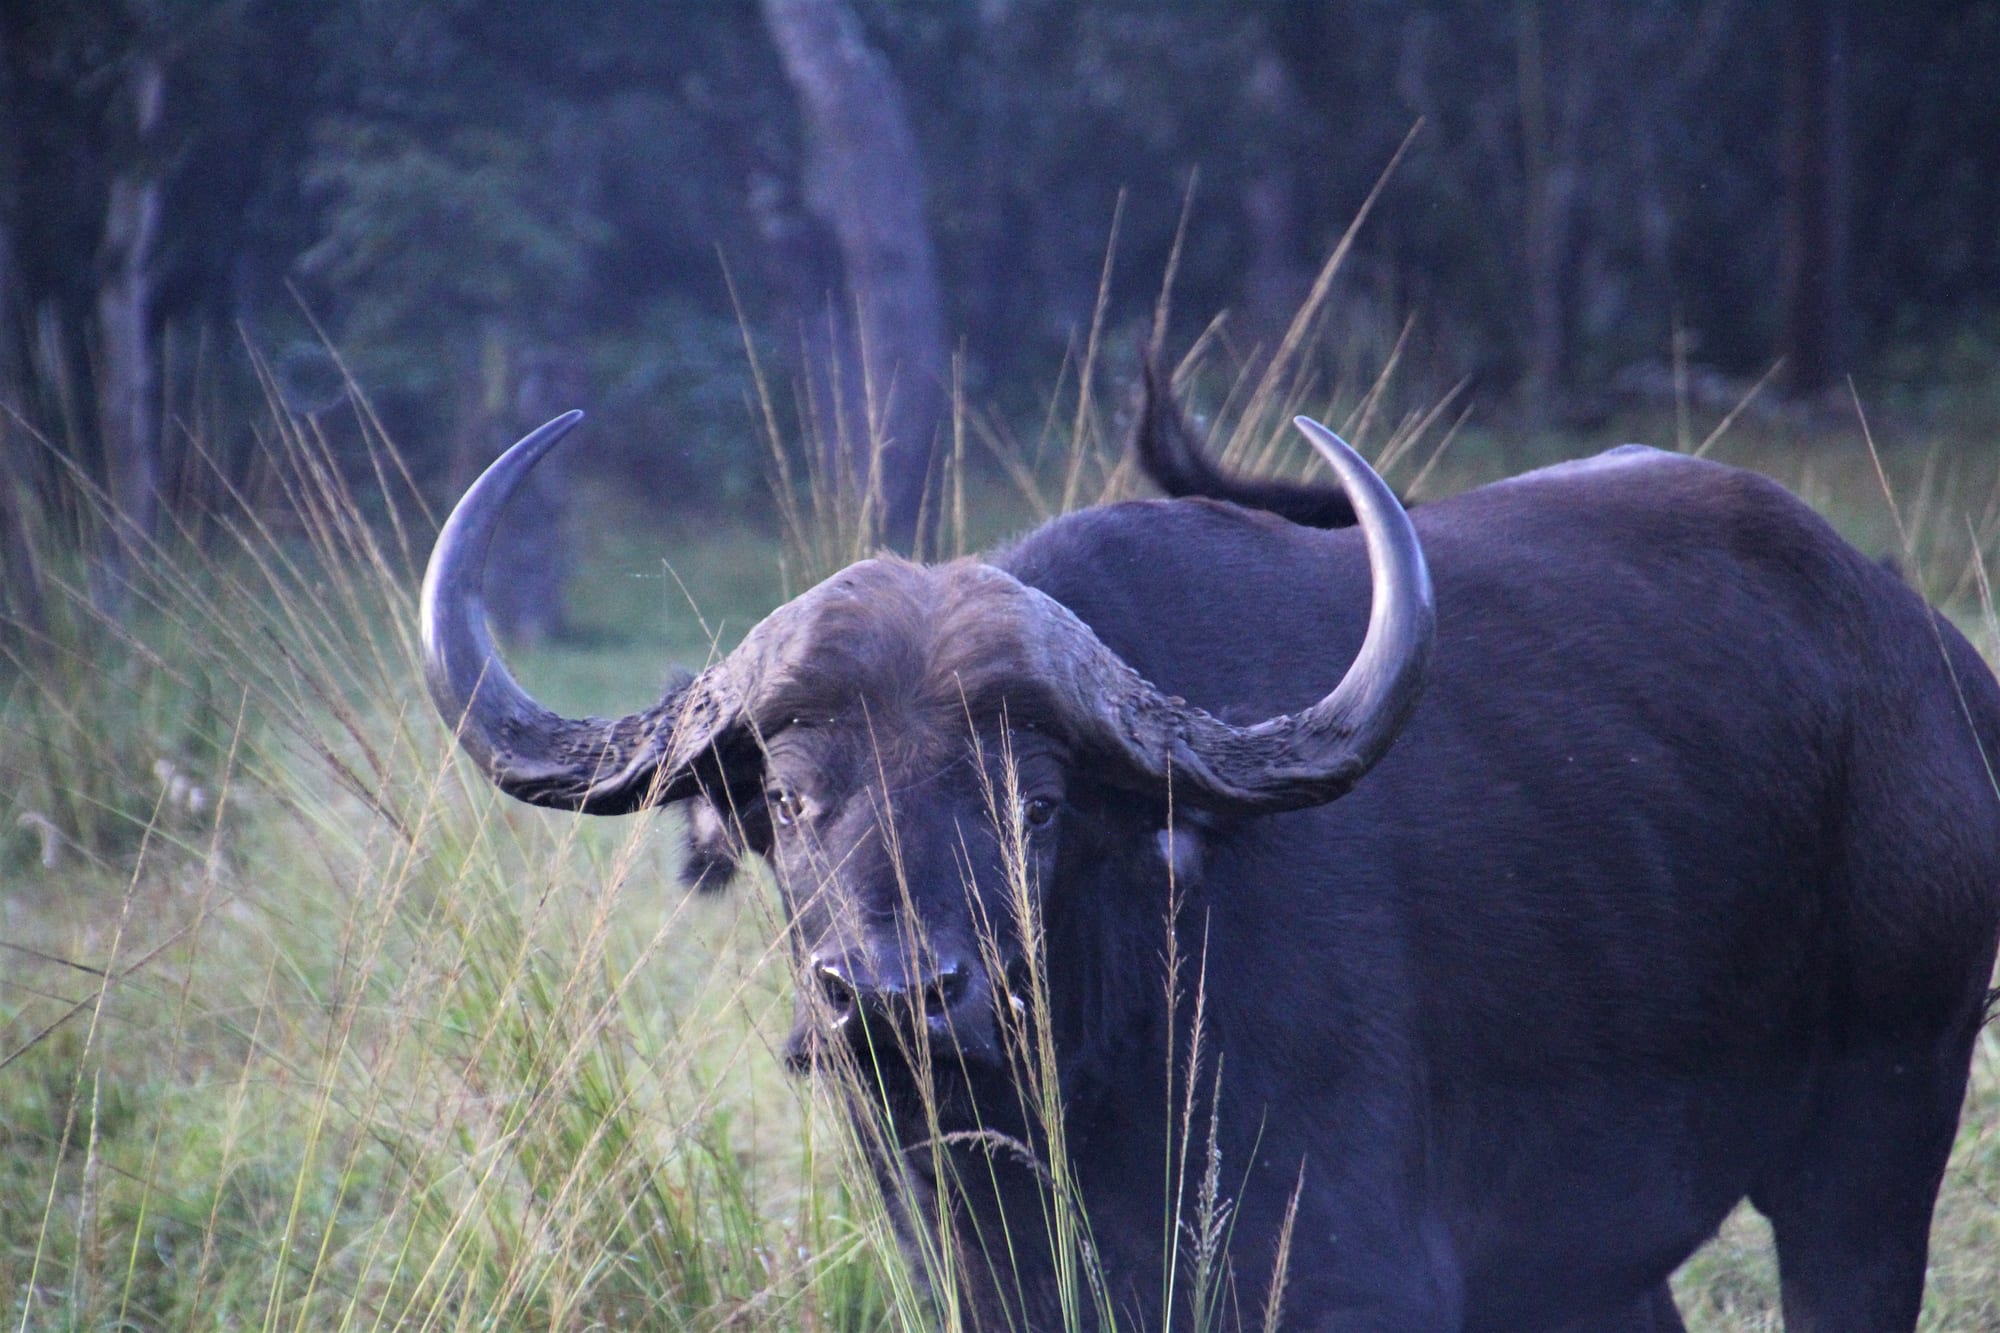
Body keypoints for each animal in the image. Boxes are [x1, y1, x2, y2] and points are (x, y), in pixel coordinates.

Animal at [420, 389, 2000, 1331]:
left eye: (1034, 804)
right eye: (794, 802)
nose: (888, 997)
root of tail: (1925, 664)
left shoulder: (1358, 1276)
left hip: (1877, 1139)